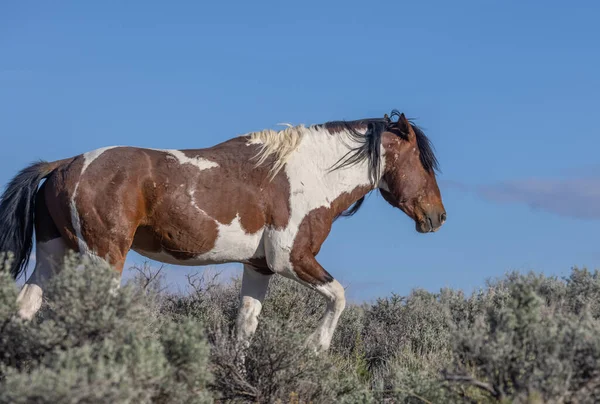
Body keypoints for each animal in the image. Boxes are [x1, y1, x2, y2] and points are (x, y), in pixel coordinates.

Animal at [0, 109, 446, 352]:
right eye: (423, 162)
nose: (437, 217)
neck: (308, 174)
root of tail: (65, 164)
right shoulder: (292, 259)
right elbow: (339, 296)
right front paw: (315, 348)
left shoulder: (260, 266)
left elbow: (245, 327)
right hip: (102, 258)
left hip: (54, 254)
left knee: (25, 307)